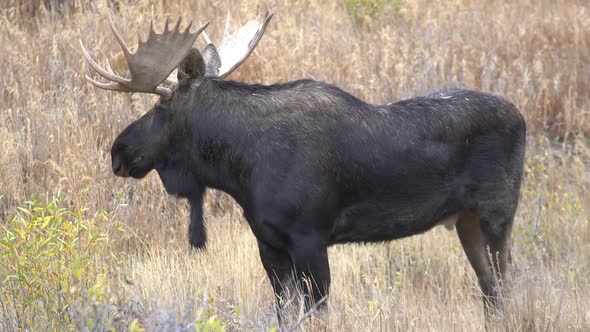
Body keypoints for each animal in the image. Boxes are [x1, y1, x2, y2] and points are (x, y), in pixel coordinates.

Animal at [82, 13, 528, 322]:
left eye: (161, 107)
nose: (118, 151)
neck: (238, 169)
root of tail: (522, 119)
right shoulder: (270, 243)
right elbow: (285, 314)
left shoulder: (310, 238)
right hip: (467, 220)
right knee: (490, 290)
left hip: (496, 215)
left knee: (505, 285)